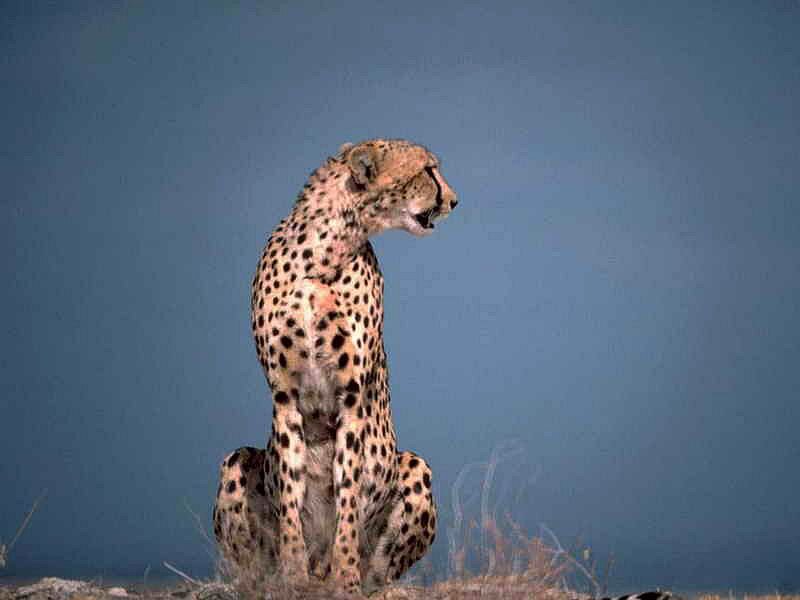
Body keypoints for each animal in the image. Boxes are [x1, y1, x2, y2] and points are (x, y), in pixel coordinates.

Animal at [213, 139, 458, 594]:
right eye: (428, 170)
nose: (454, 200)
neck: (325, 251)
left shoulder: (352, 400)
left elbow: (347, 497)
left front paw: (345, 577)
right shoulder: (286, 399)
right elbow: (291, 497)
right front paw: (293, 575)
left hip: (414, 465)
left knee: (380, 567)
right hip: (235, 461)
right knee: (251, 565)